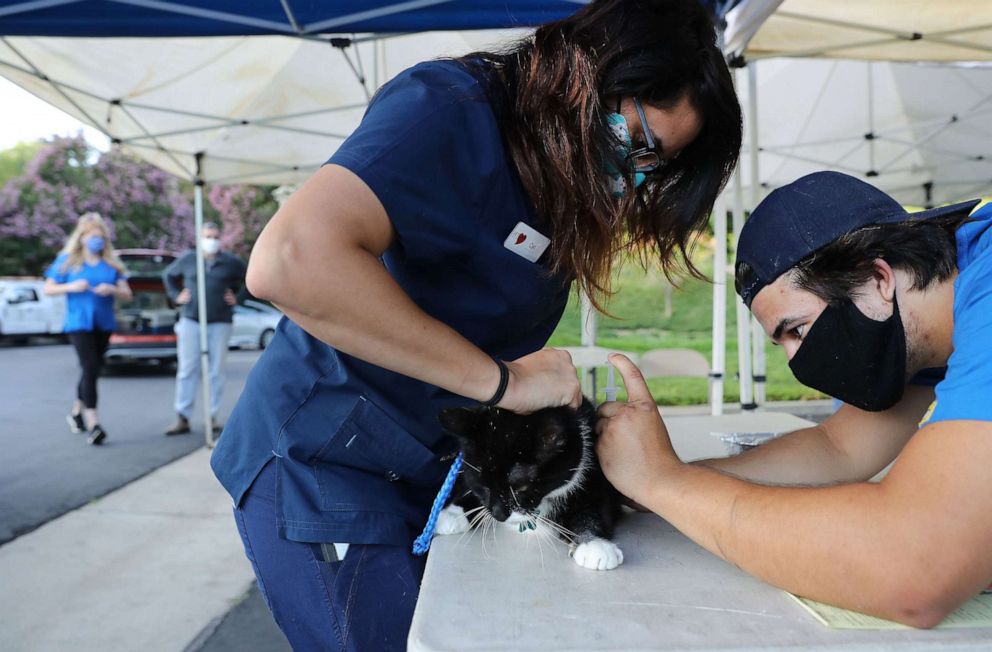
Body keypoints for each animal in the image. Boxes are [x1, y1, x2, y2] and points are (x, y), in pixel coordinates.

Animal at [432, 398, 620, 572]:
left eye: (521, 488)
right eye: (483, 486)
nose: (499, 515)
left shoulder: (595, 470)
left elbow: (594, 509)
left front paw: (595, 545)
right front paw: (453, 512)